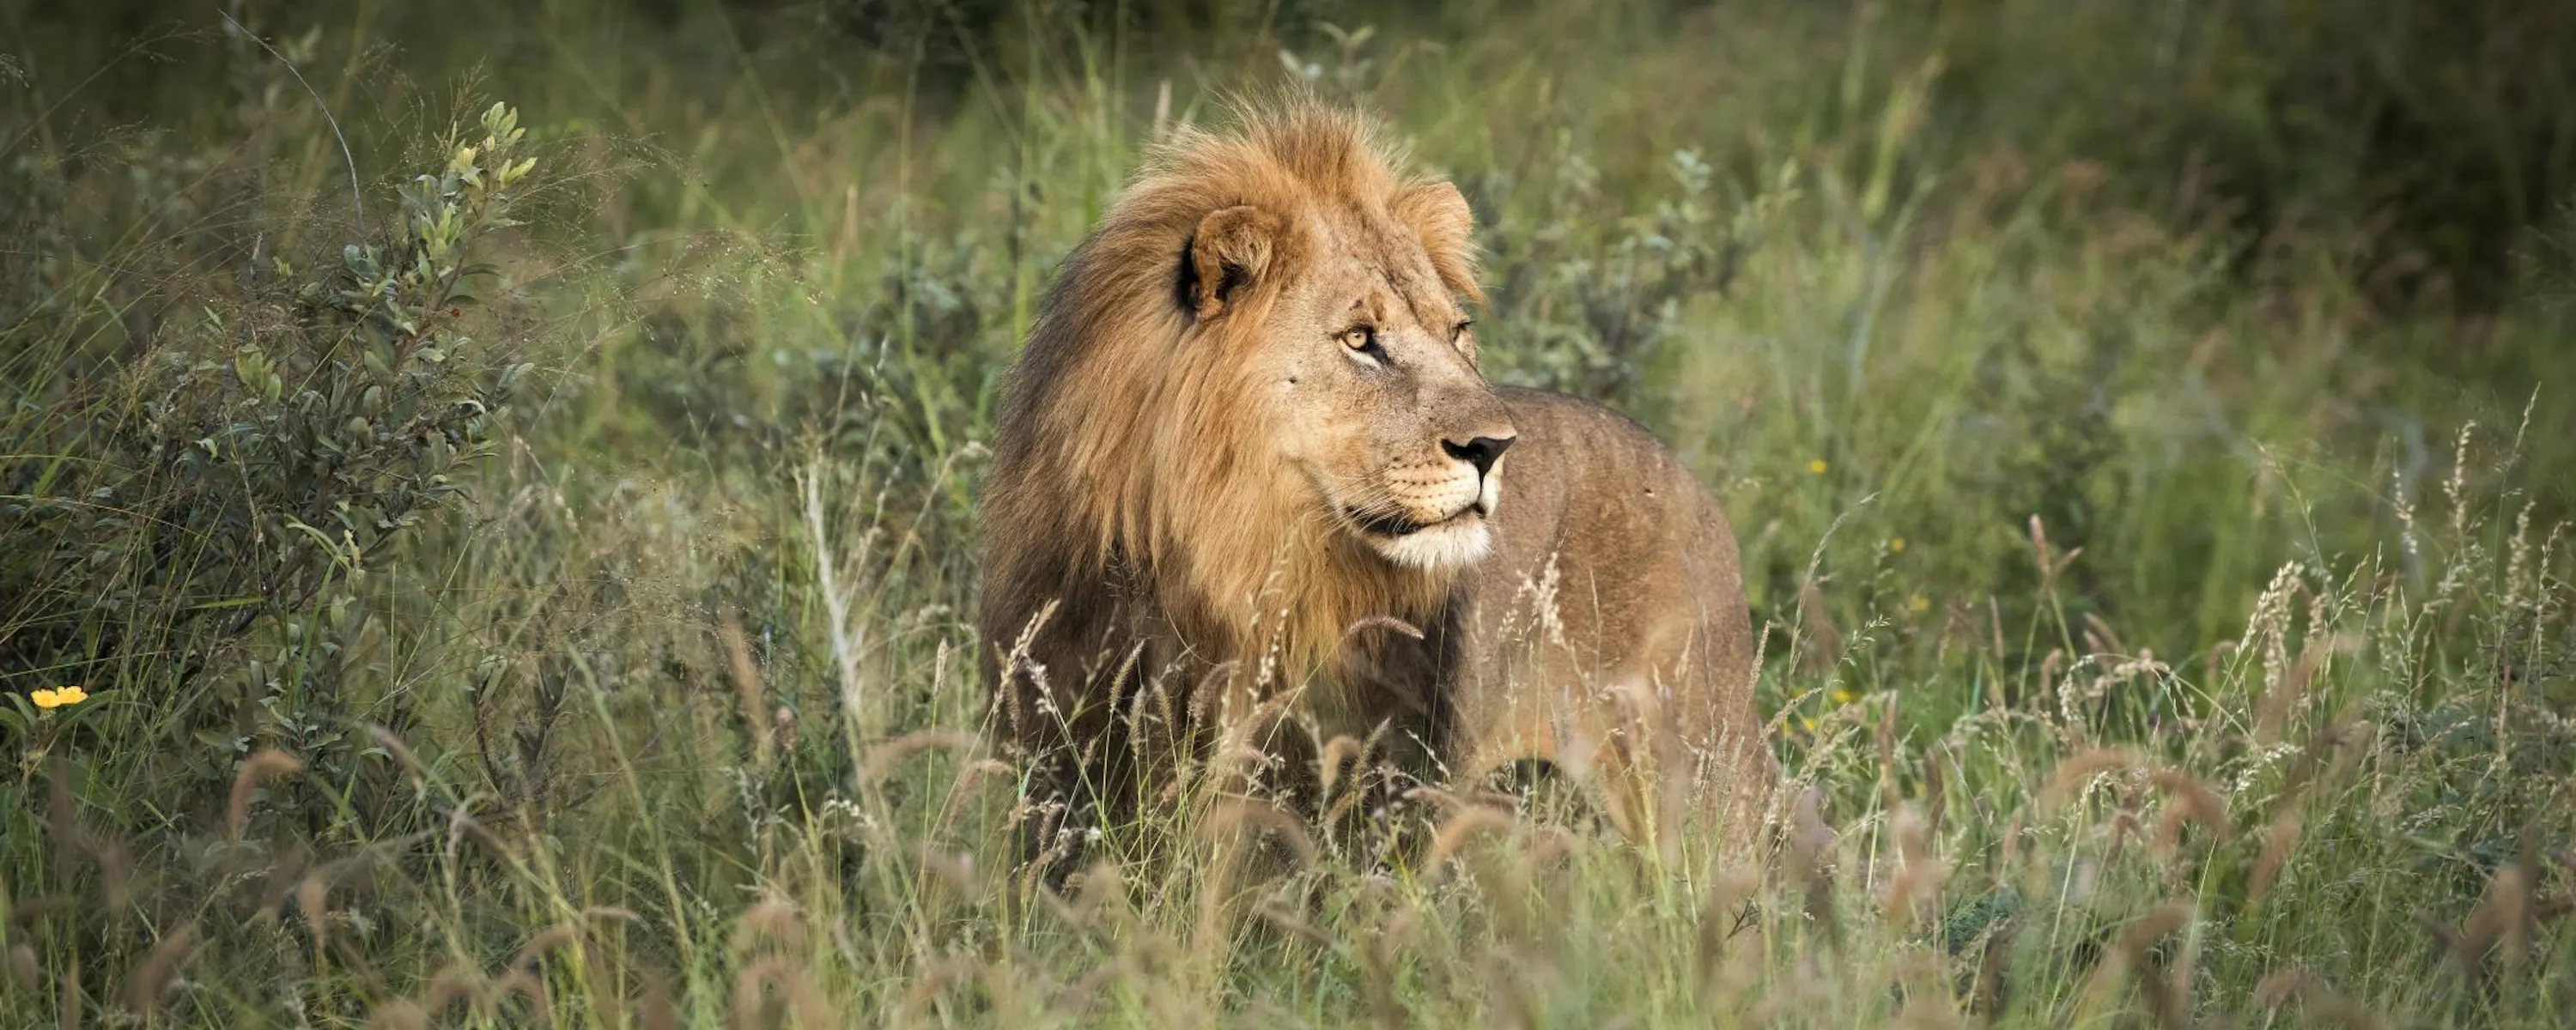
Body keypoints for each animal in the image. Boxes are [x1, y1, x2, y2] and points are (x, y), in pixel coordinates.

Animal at [979, 101, 1774, 869]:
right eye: (1360, 340)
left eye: (1457, 332)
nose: (1495, 447)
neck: (1208, 561)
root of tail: (1691, 483)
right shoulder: (1057, 762)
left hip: (1706, 780)